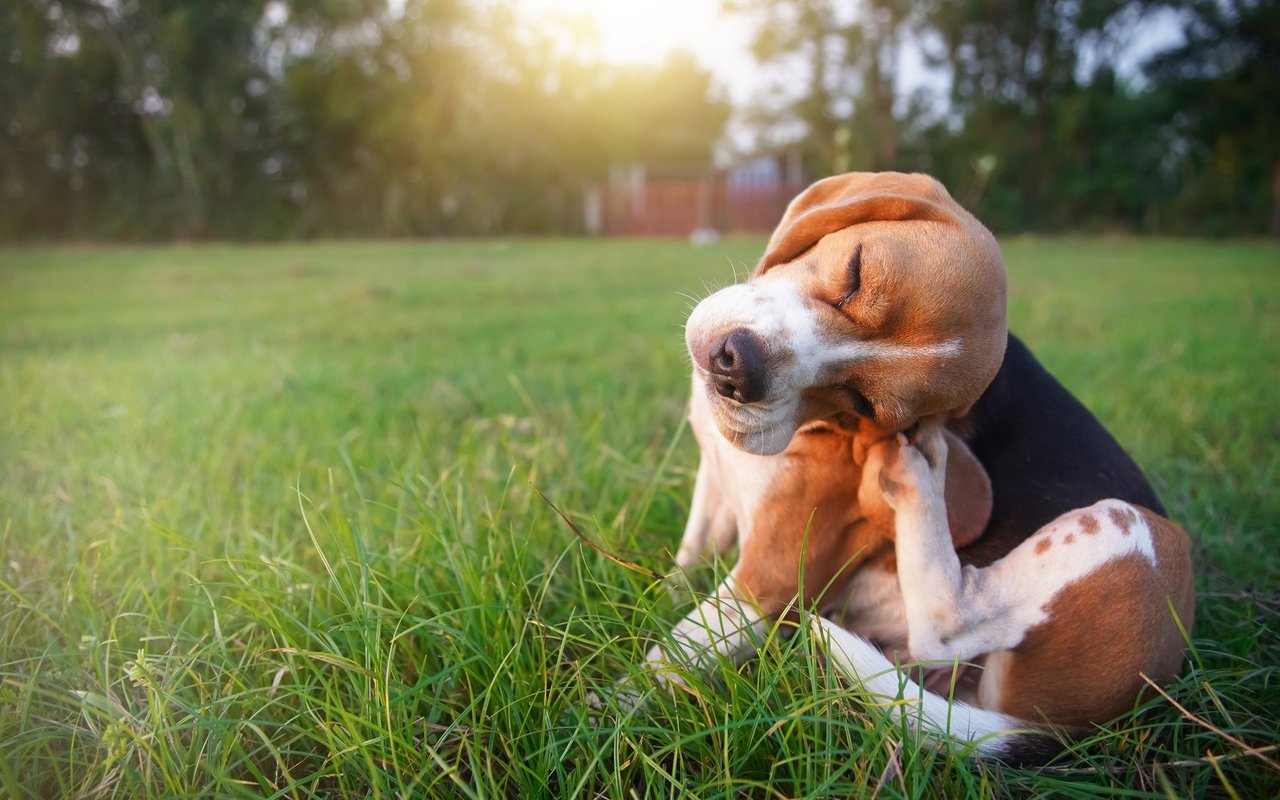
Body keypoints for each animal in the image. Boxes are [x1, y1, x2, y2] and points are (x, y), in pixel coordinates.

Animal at [645, 170, 1192, 762]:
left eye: (863, 404)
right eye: (856, 272)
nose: (736, 370)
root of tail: (1066, 729)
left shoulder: (767, 581)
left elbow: (660, 663)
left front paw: (610, 709)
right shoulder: (714, 488)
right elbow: (686, 563)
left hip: (1134, 531)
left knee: (948, 626)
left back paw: (917, 478)